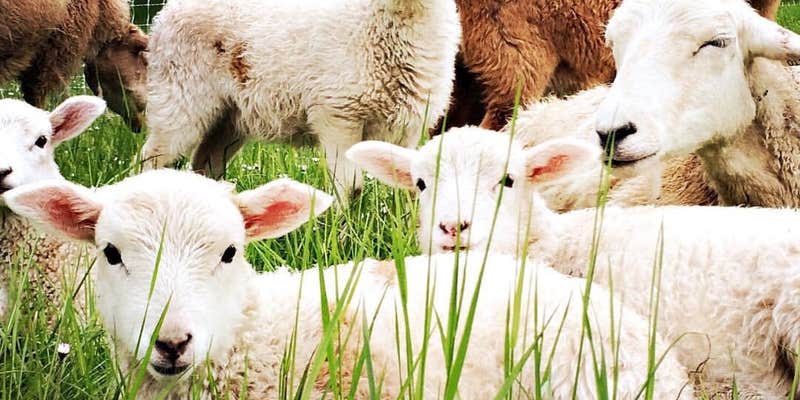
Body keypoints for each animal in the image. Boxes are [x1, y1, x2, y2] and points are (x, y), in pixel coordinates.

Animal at [140, 0, 460, 197]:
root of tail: (165, 13)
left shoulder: (410, 125)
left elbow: (406, 183)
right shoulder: (338, 114)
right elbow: (351, 187)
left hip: (229, 118)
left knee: (205, 163)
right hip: (181, 97)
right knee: (152, 156)